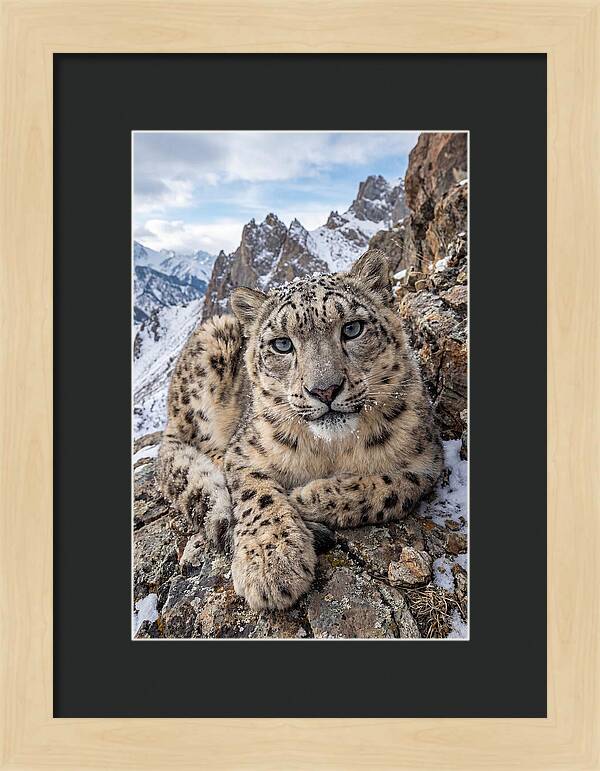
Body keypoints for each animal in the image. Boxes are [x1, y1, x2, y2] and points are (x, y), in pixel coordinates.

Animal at [156, 249, 444, 611]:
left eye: (352, 328)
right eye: (282, 344)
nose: (325, 389)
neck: (332, 450)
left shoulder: (427, 461)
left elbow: (392, 488)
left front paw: (307, 497)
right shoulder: (243, 452)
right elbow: (256, 494)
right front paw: (271, 563)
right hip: (209, 353)